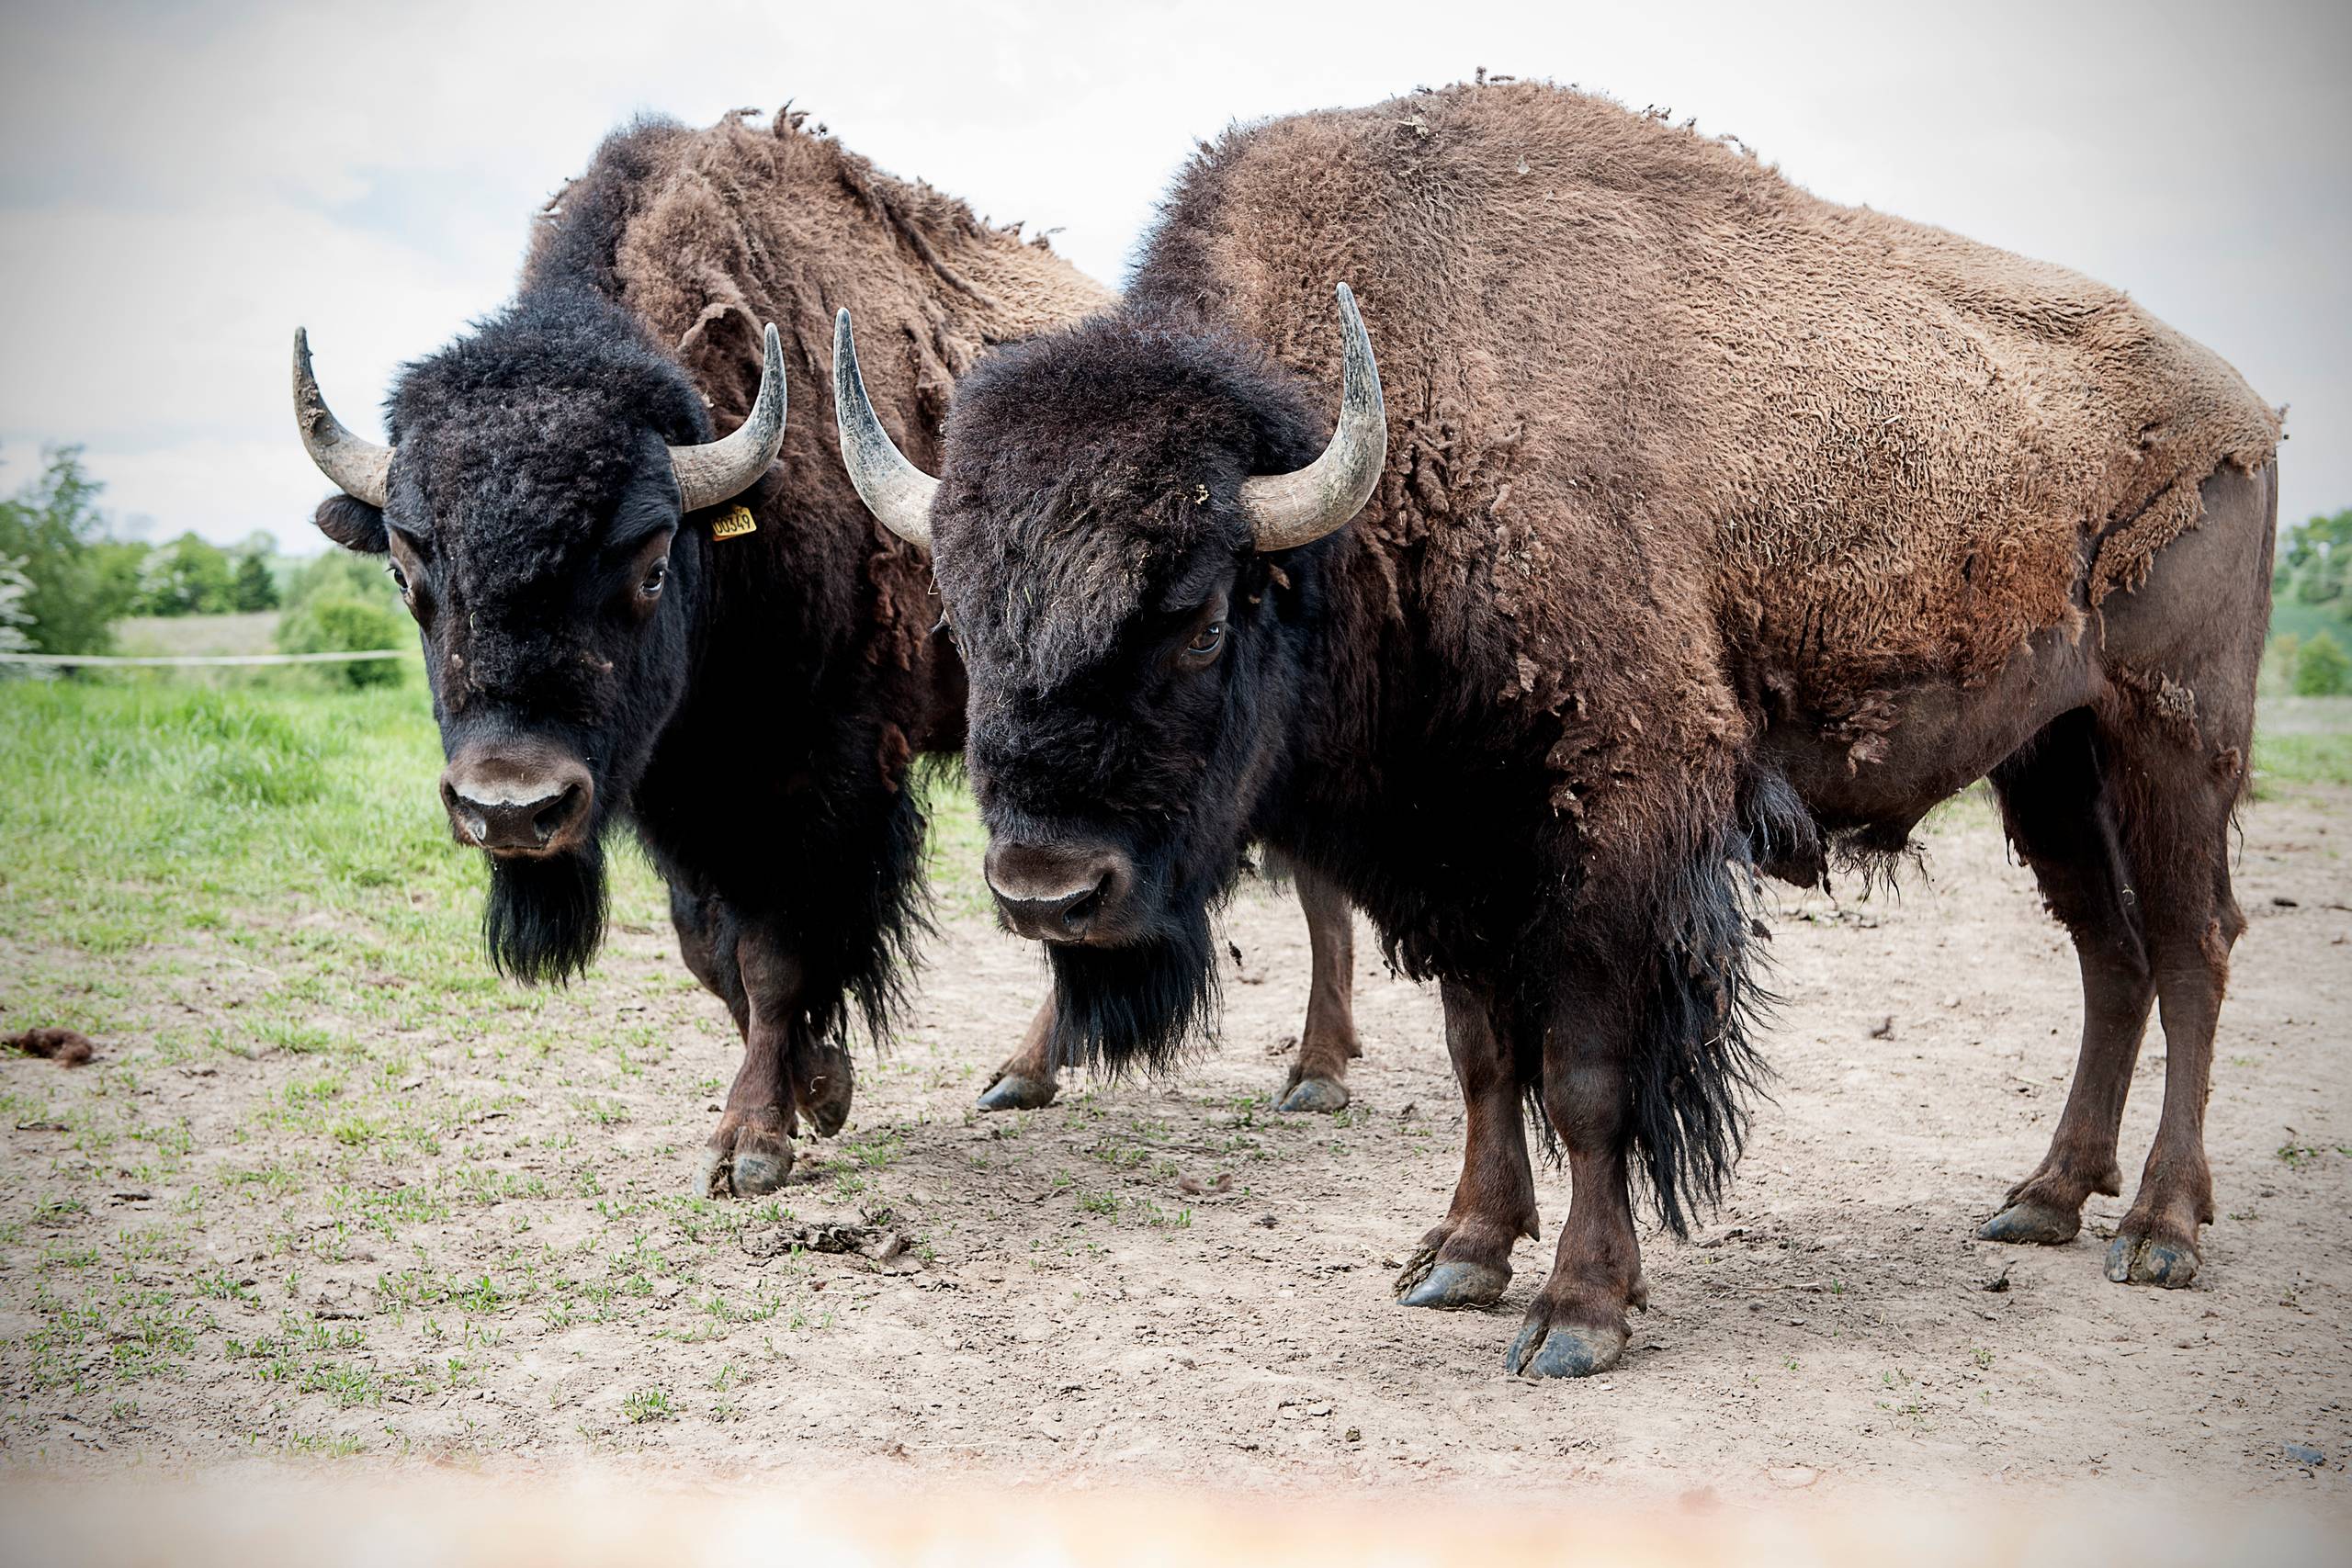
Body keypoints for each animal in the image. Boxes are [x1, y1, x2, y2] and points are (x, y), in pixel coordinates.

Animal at [291, 108, 1366, 1201]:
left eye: (647, 561)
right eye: (406, 575)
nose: (511, 809)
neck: (739, 499)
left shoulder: (822, 779)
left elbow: (774, 953)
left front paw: (755, 1139)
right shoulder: (680, 784)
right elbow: (708, 949)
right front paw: (820, 1085)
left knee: (1301, 881)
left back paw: (1314, 1075)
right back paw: (1025, 1075)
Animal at [834, 81, 2282, 1377]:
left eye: (1197, 614)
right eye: (960, 614)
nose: (1047, 890)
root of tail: (2243, 407)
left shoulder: (1615, 830)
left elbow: (1586, 1074)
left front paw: (1578, 1312)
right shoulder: (1455, 845)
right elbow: (1483, 1056)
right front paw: (1462, 1257)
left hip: (2174, 737)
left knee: (2194, 947)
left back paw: (2157, 1229)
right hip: (2051, 759)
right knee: (2111, 955)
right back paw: (2043, 1199)